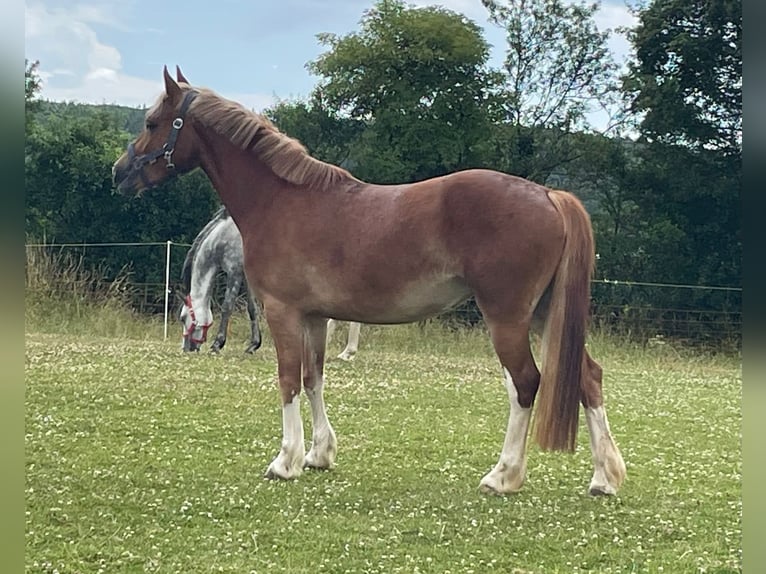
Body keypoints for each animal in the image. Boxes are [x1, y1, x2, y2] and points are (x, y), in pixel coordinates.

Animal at [178, 205, 262, 353]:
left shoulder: (234, 273)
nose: (186, 349)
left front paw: (217, 344)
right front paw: (253, 345)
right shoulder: (246, 276)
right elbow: (252, 308)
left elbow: (227, 307)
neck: (225, 236)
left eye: (183, 318)